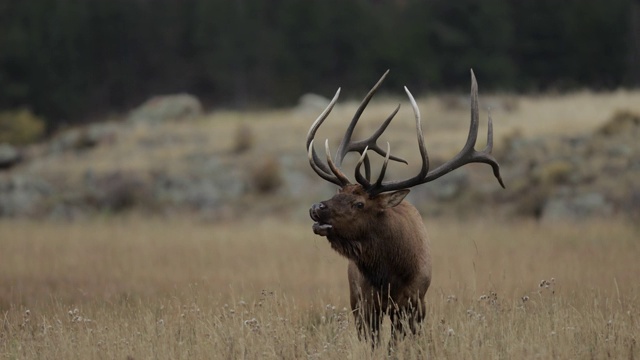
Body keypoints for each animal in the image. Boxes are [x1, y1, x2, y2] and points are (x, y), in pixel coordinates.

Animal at [306, 69, 504, 344]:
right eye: (337, 193)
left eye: (359, 203)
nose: (317, 207)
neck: (390, 275)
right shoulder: (366, 303)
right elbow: (374, 343)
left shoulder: (414, 303)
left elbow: (398, 343)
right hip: (354, 295)